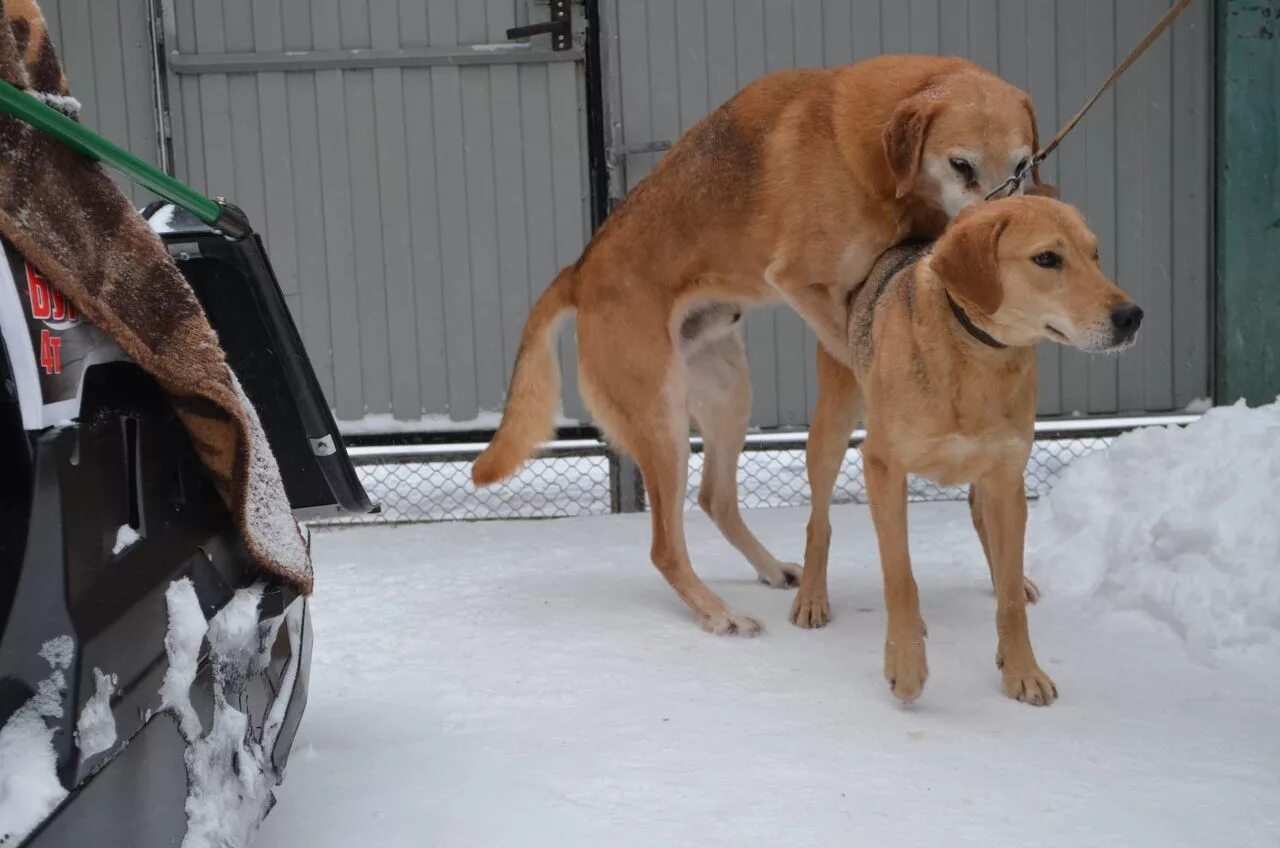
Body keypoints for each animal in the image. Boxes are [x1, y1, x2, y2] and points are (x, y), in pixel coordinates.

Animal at [476, 54, 1044, 637]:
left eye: (1022, 167)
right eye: (961, 165)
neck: (863, 152)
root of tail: (579, 272)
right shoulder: (801, 283)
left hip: (729, 393)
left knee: (715, 498)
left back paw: (770, 569)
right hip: (660, 419)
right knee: (665, 546)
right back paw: (719, 613)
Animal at [793, 195, 1146, 707]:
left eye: (1095, 254)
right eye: (1046, 259)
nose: (1131, 316)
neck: (977, 354)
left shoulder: (1006, 476)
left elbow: (1011, 602)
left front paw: (1021, 668)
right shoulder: (883, 467)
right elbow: (900, 577)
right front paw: (906, 665)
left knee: (987, 528)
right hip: (831, 430)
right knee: (818, 523)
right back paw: (811, 597)